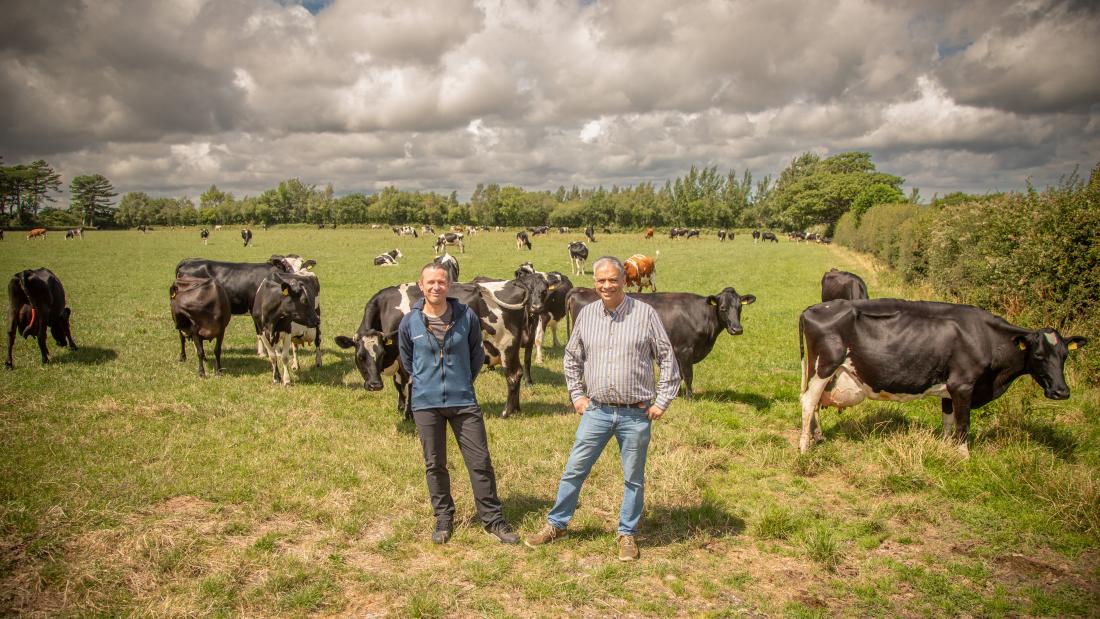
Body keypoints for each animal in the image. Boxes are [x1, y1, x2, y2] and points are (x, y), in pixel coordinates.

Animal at [567, 285, 756, 398]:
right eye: (723, 308)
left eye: (739, 307)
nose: (737, 329)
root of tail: (582, 289)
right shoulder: (685, 350)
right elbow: (688, 375)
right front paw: (690, 398)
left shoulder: (677, 352)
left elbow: (679, 375)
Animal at [800, 301, 1091, 455]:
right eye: (1039, 355)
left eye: (1065, 355)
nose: (1061, 391)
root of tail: (814, 308)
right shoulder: (963, 385)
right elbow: (963, 424)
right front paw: (964, 456)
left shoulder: (950, 389)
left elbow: (948, 422)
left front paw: (945, 448)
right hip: (823, 367)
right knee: (808, 403)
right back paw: (804, 448)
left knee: (814, 404)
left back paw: (818, 438)